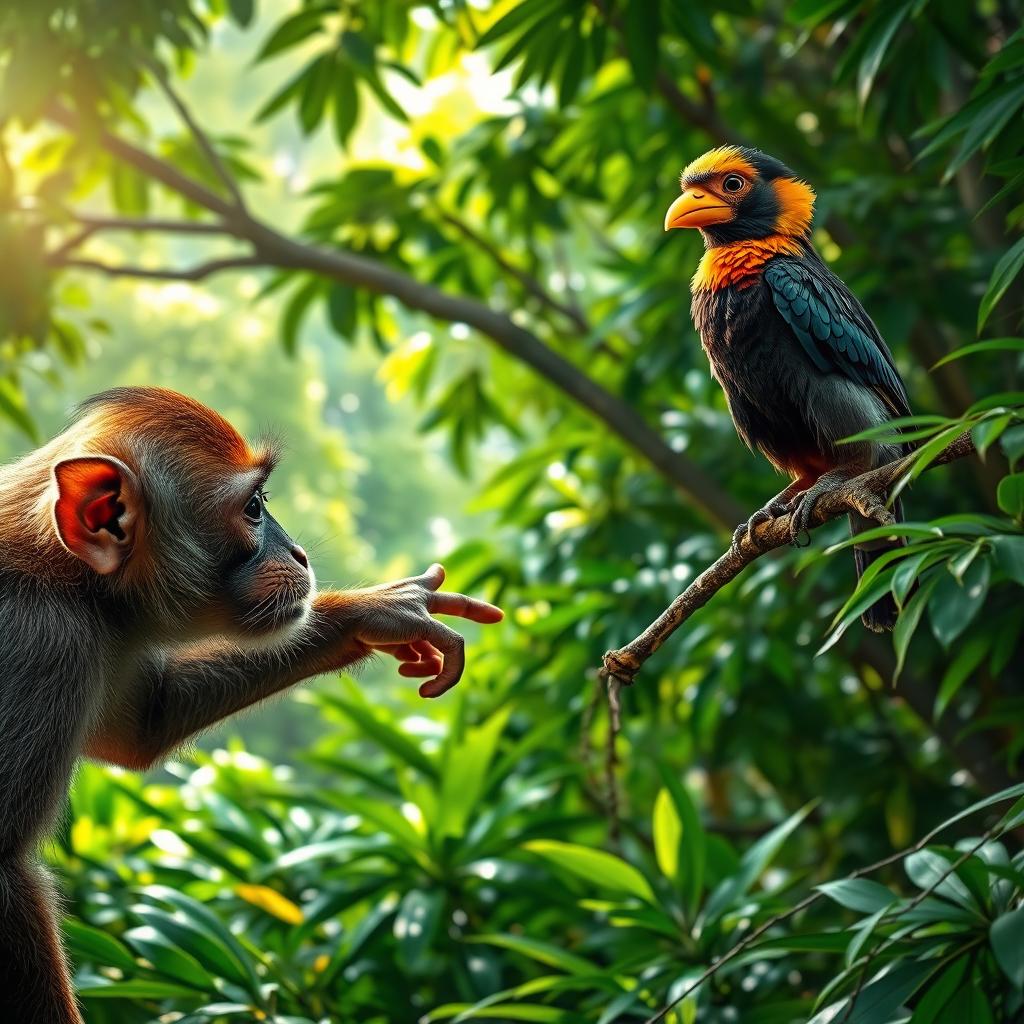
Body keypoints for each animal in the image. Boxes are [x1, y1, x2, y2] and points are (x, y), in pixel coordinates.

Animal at [0, 385, 503, 1024]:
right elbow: (5, 870)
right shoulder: (45, 646)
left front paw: (377, 610)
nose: (299, 555)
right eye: (255, 509)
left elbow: (140, 725)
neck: (69, 577)